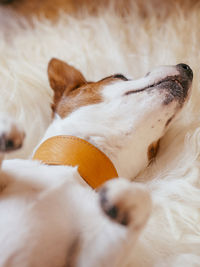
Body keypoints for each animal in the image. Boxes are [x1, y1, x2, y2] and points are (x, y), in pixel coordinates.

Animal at [0, 60, 192, 267]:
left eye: (156, 146)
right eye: (118, 76)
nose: (188, 68)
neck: (71, 169)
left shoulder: (87, 259)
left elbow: (143, 199)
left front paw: (126, 195)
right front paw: (6, 127)